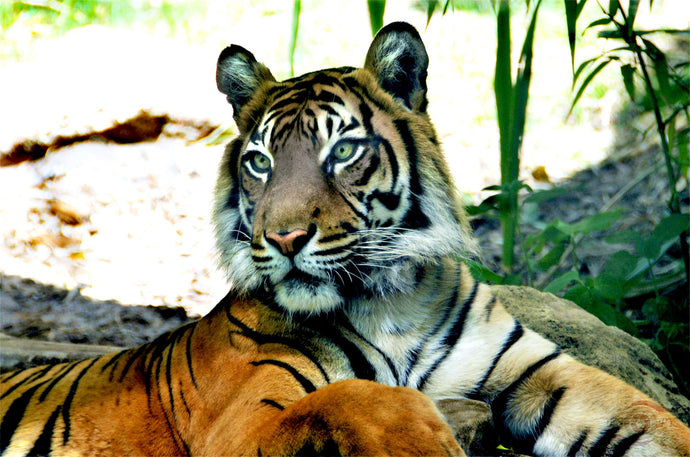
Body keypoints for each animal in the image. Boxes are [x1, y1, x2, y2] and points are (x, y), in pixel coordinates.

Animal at [1, 19, 688, 454]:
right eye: (260, 162)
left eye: (343, 151)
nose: (284, 238)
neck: (395, 304)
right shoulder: (241, 426)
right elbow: (360, 396)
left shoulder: (543, 372)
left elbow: (654, 418)